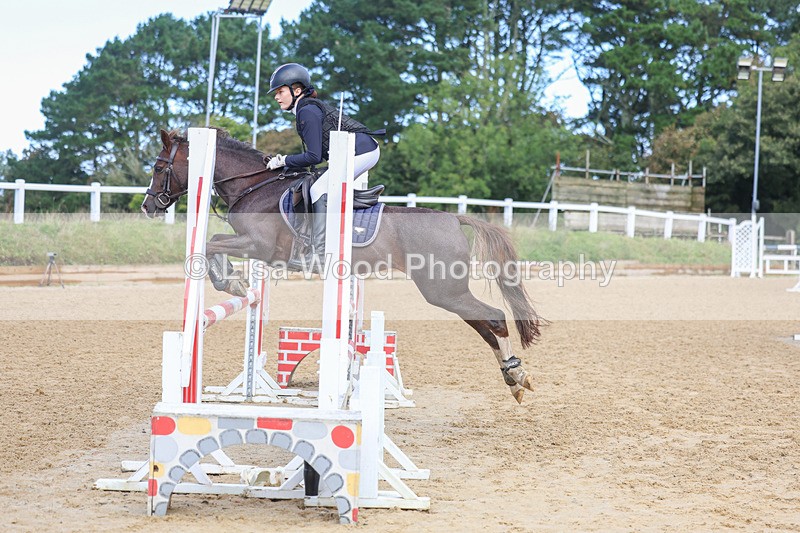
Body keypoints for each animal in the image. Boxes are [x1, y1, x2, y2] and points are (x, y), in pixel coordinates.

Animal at [141, 128, 542, 403]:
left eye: (159, 167)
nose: (147, 206)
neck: (255, 186)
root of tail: (454, 219)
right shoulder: (255, 247)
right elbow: (212, 242)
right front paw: (235, 282)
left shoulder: (260, 245)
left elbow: (208, 245)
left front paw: (231, 282)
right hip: (446, 291)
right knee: (483, 323)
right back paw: (514, 378)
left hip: (443, 289)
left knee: (493, 317)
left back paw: (516, 374)